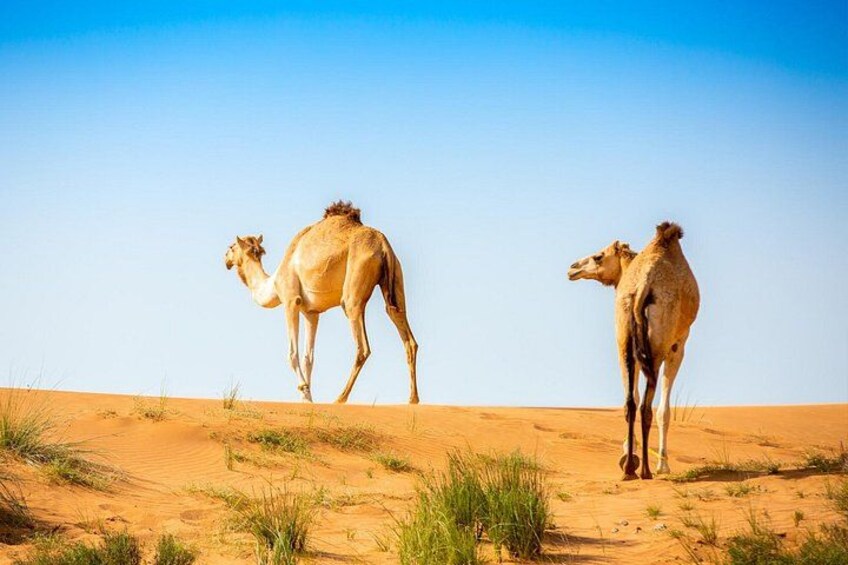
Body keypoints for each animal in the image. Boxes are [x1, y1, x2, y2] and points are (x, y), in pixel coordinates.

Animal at [224, 201, 419, 404]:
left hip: (354, 287)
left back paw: (340, 398)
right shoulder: (311, 313)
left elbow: (292, 354)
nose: (225, 259)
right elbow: (308, 358)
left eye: (231, 247)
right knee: (405, 331)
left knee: (362, 346)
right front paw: (307, 397)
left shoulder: (291, 301)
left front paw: (304, 388)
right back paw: (413, 399)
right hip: (396, 278)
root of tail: (383, 245)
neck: (273, 283)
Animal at [568, 222, 699, 480]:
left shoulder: (634, 347)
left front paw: (628, 454)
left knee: (630, 402)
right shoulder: (678, 345)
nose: (572, 268)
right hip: (657, 344)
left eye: (599, 256)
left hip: (623, 337)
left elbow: (634, 396)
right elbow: (664, 411)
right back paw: (646, 470)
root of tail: (641, 287)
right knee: (647, 407)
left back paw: (629, 468)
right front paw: (663, 466)